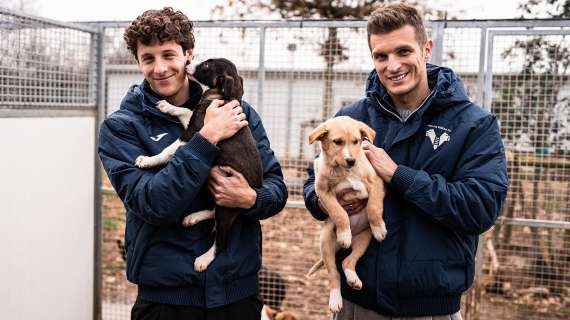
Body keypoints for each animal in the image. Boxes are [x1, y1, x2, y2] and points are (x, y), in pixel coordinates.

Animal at [134, 58, 262, 272]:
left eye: (208, 65)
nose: (186, 61)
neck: (221, 96)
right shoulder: (194, 123)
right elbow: (186, 110)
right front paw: (167, 106)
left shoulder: (192, 133)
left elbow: (168, 150)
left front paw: (147, 160)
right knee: (213, 210)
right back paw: (193, 217)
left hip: (228, 205)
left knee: (221, 242)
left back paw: (204, 259)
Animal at [306, 115, 386, 312]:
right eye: (337, 142)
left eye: (356, 141)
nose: (351, 160)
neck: (344, 171)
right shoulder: (323, 192)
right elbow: (339, 212)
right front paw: (344, 233)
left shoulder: (376, 182)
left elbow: (373, 206)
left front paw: (379, 227)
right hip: (326, 241)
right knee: (334, 274)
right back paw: (335, 299)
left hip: (364, 238)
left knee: (347, 262)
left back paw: (353, 278)